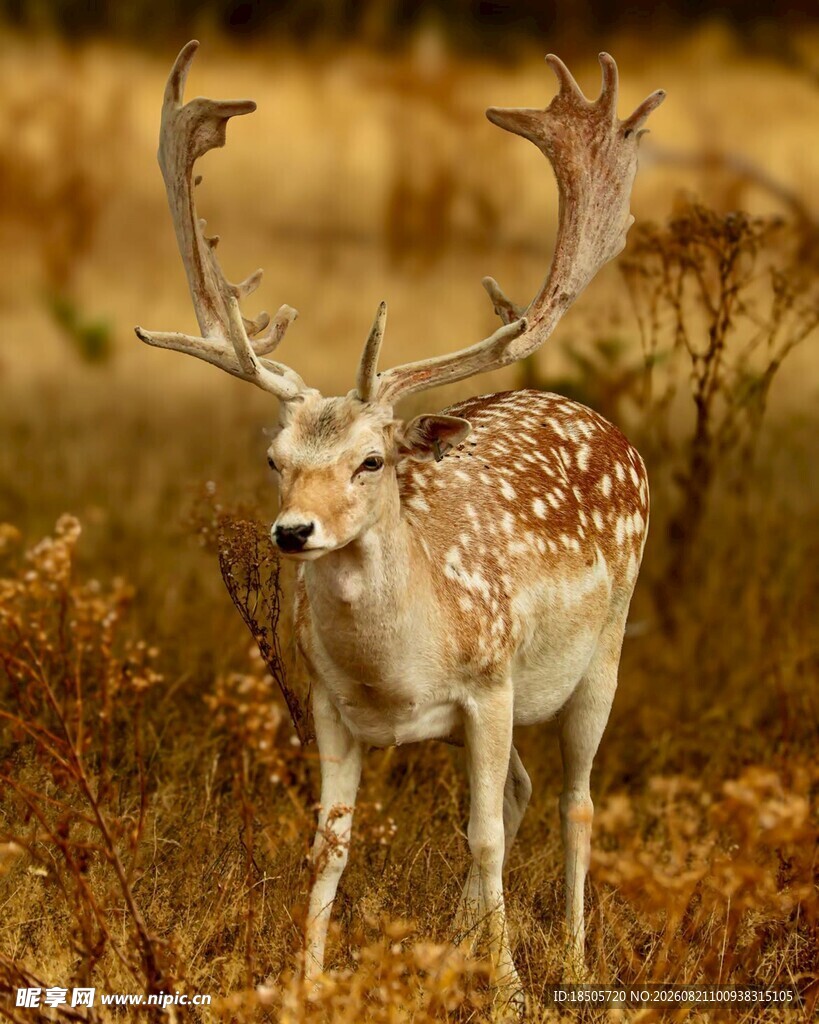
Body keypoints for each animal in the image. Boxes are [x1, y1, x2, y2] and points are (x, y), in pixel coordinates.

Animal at [135, 40, 664, 1005]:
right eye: (276, 459)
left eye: (371, 460)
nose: (293, 534)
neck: (396, 677)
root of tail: (604, 425)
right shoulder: (328, 704)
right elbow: (330, 842)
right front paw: (305, 979)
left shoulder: (489, 683)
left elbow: (485, 836)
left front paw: (510, 992)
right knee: (521, 791)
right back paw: (456, 939)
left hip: (602, 648)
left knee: (572, 798)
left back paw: (572, 959)